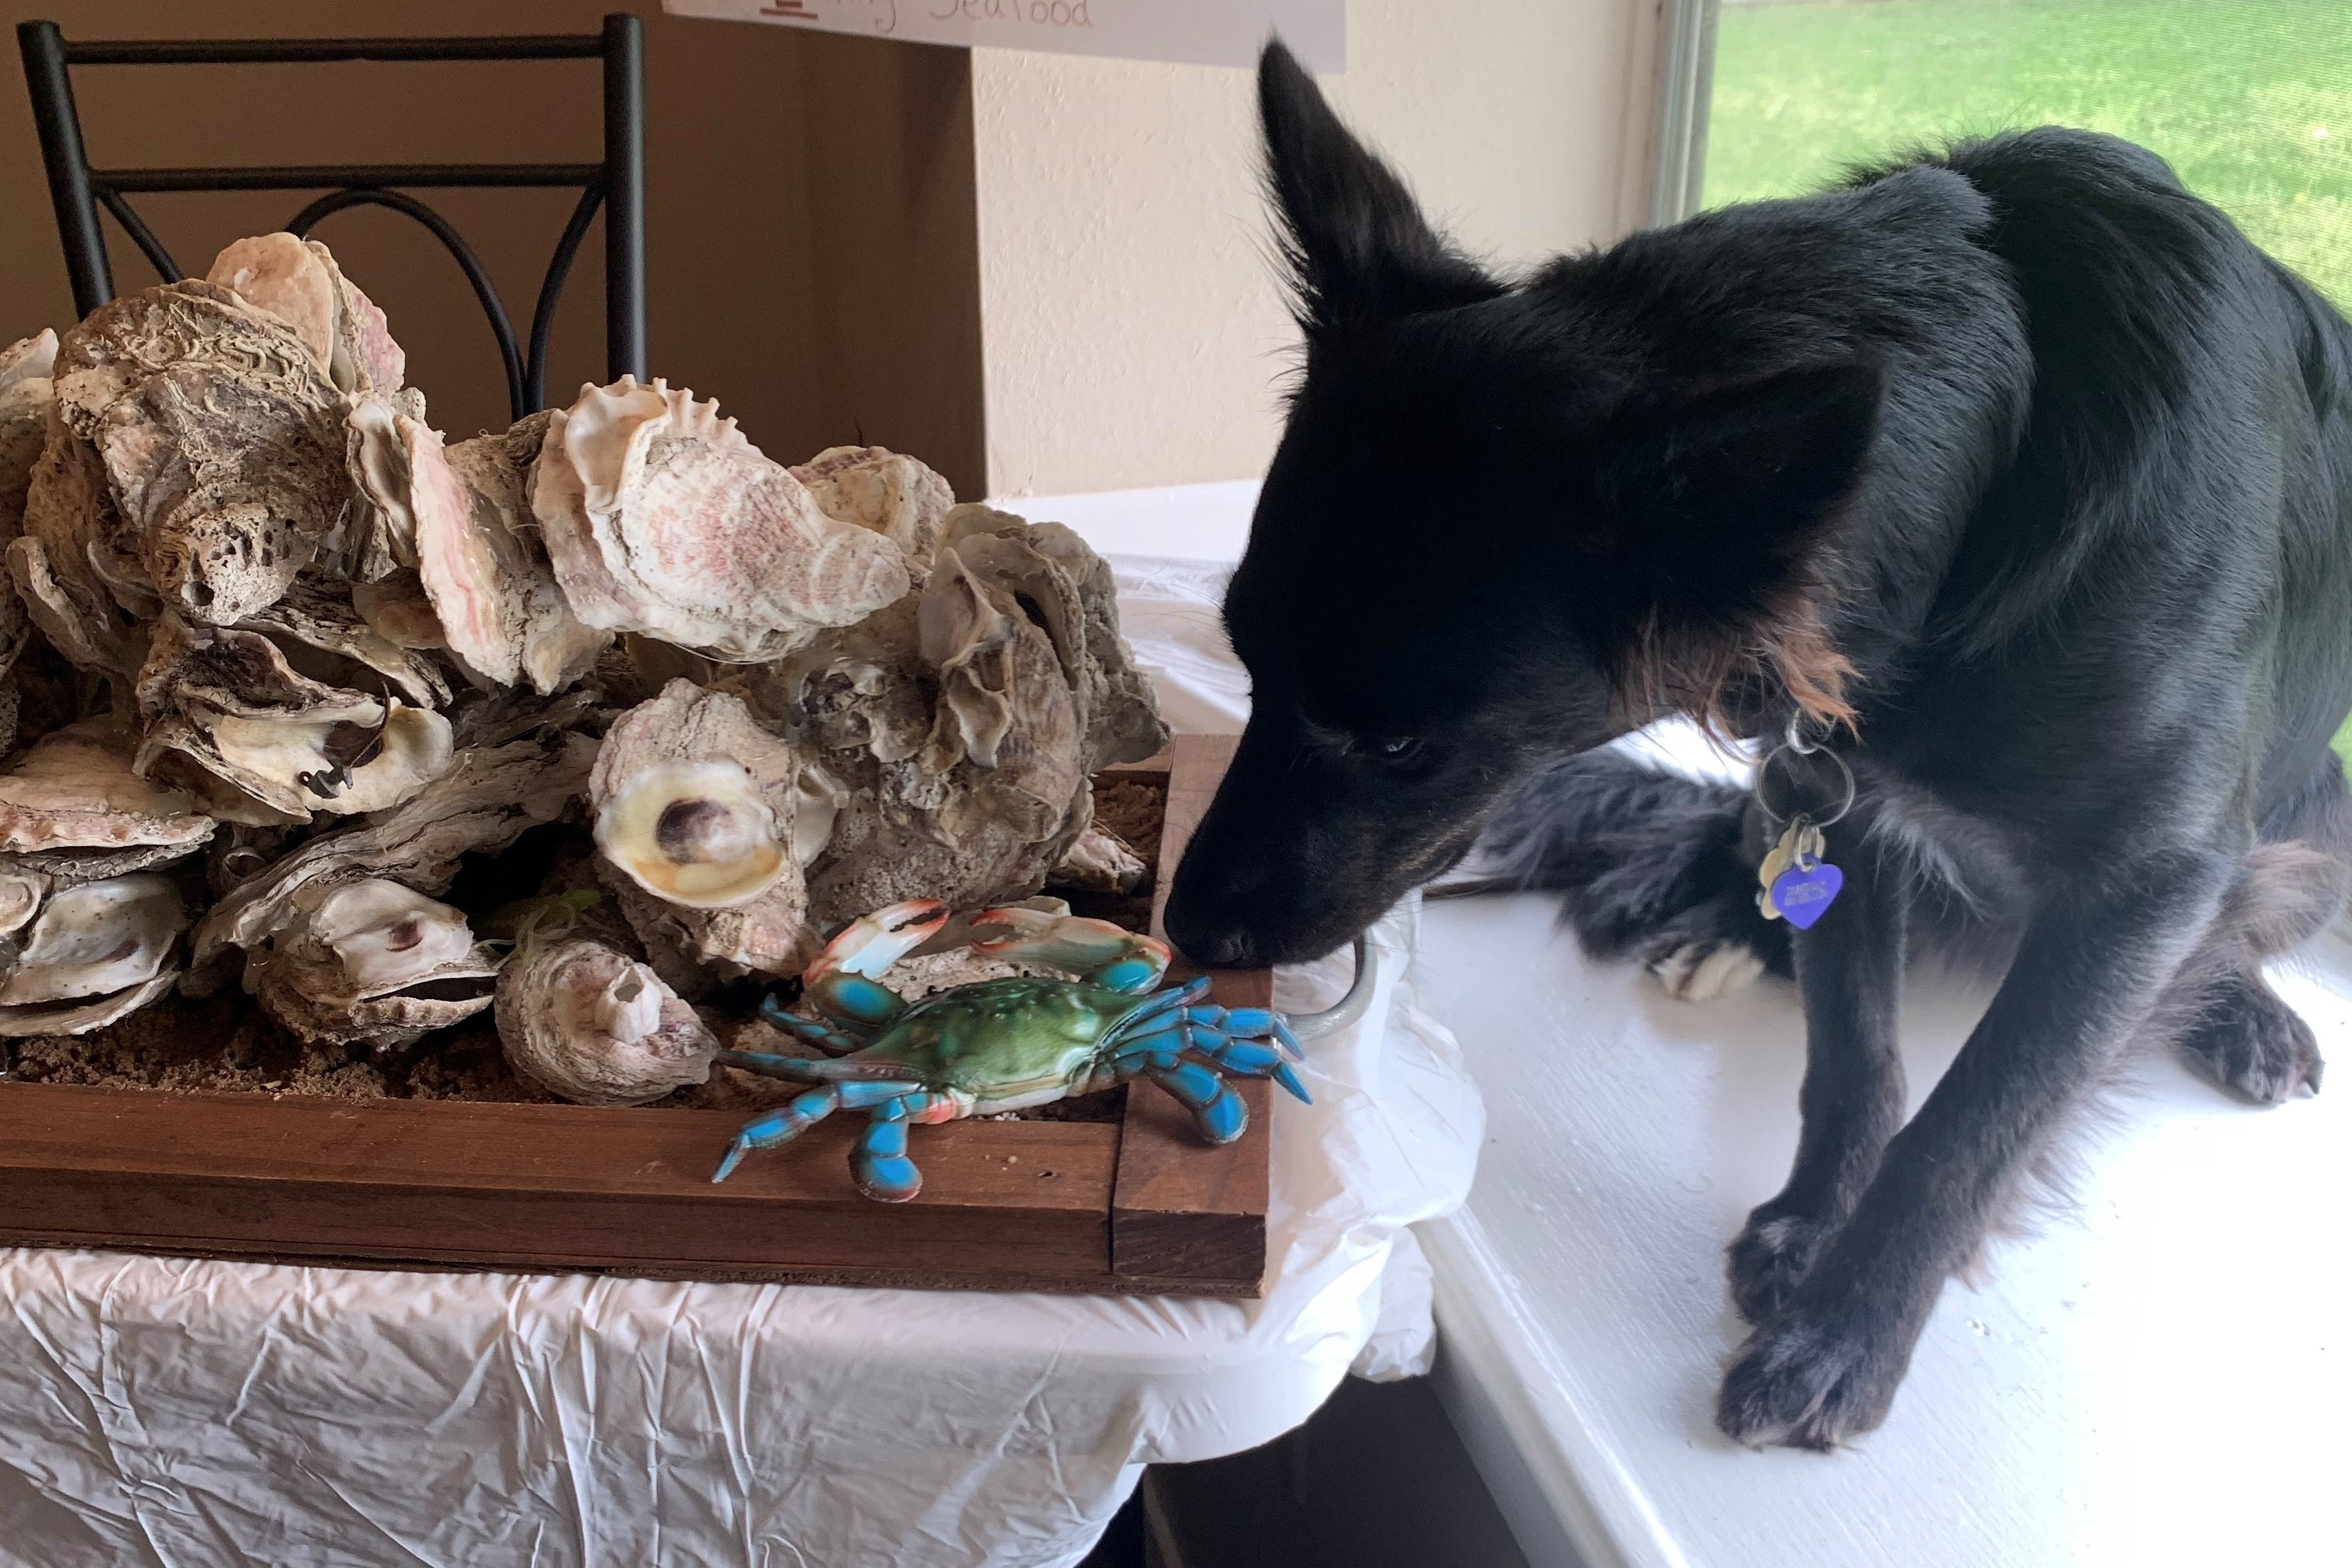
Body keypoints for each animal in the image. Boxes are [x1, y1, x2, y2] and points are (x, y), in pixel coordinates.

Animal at [1171, 43, 2352, 1457]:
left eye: (1401, 742)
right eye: (1246, 664)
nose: (1187, 929)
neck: (1997, 457)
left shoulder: (2145, 878)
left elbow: (1971, 1124)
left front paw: (1849, 1331)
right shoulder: (1832, 794)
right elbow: (1853, 1057)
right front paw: (1809, 1226)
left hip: (2320, 824)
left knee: (2233, 921)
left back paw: (2244, 1007)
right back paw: (1727, 928)